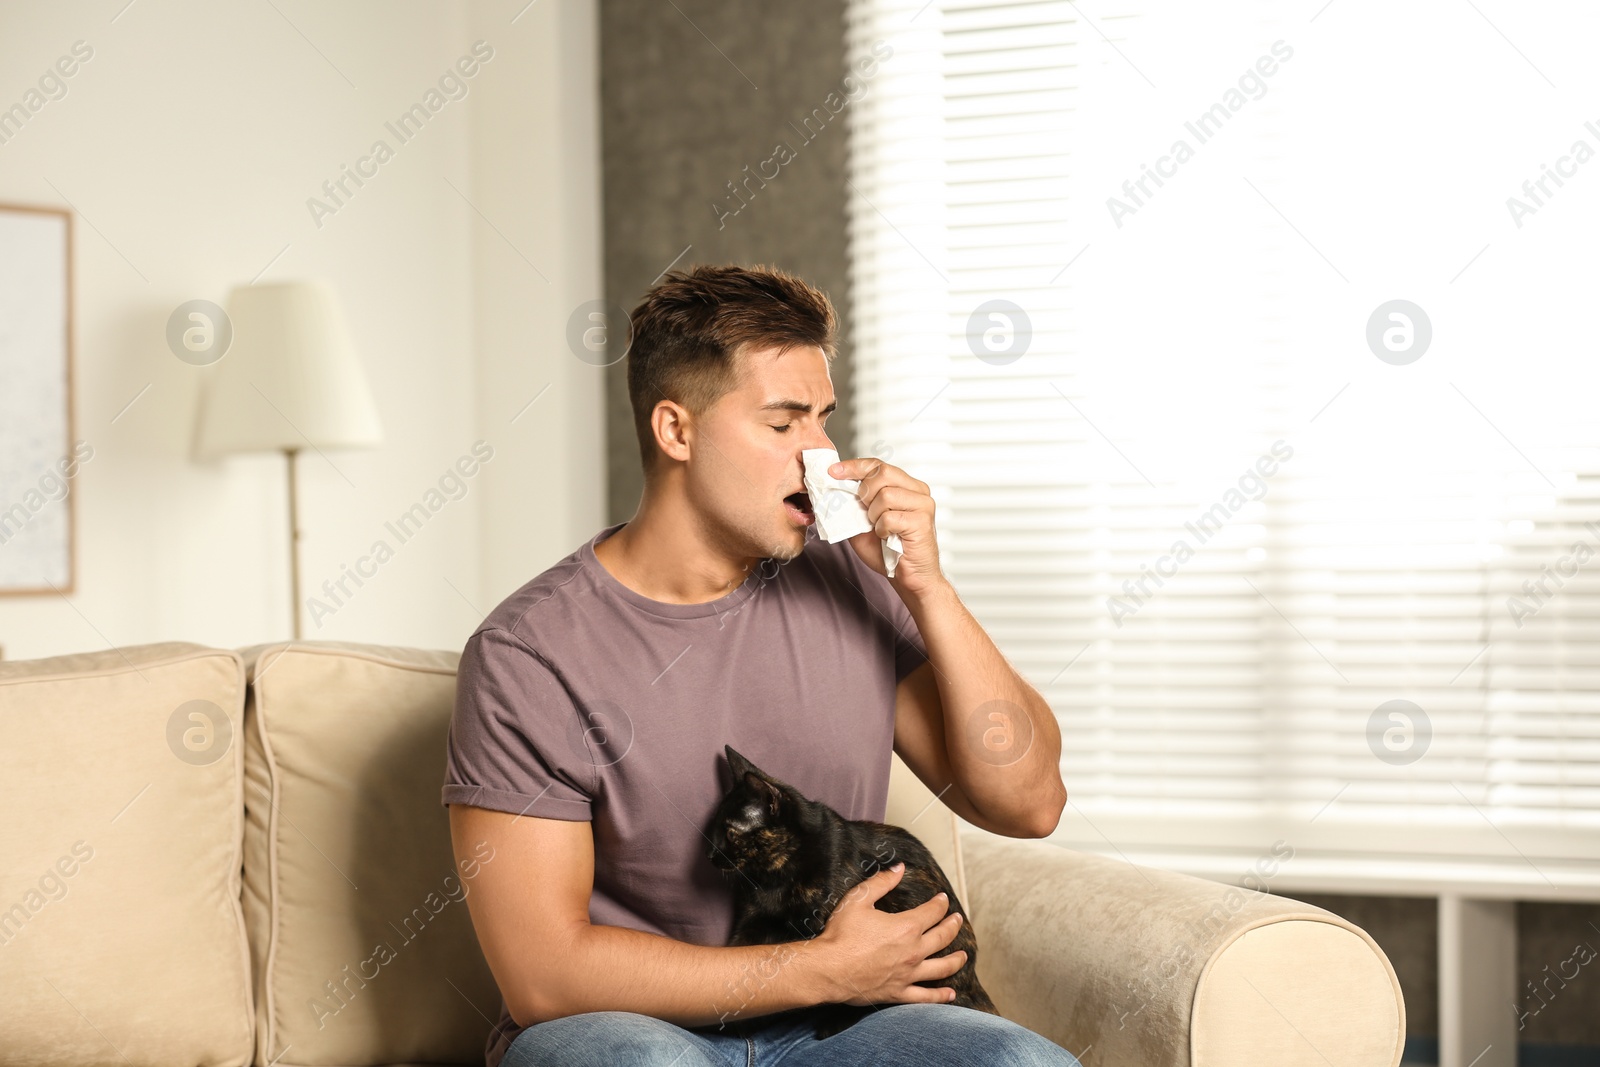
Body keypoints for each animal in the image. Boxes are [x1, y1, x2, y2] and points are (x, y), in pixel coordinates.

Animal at [707, 748, 992, 1036]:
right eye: (712, 829)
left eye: (729, 834)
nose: (710, 856)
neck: (774, 876)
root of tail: (973, 981)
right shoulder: (752, 921)